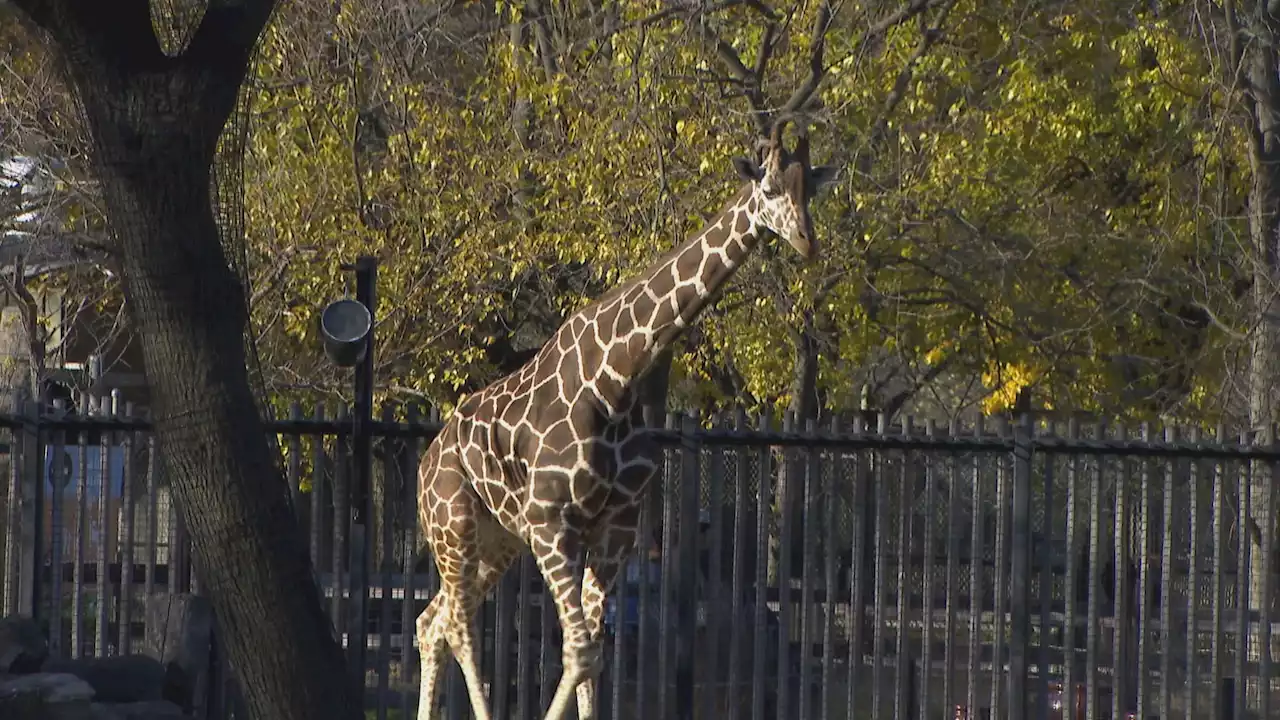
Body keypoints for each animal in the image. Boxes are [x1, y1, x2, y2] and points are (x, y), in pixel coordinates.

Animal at [414, 117, 844, 717]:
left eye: (811, 192)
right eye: (769, 188)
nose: (806, 242)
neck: (616, 378)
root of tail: (425, 464)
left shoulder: (615, 526)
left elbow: (594, 652)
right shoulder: (552, 523)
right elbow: (578, 651)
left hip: (497, 540)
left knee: (431, 621)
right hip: (453, 525)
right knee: (457, 625)